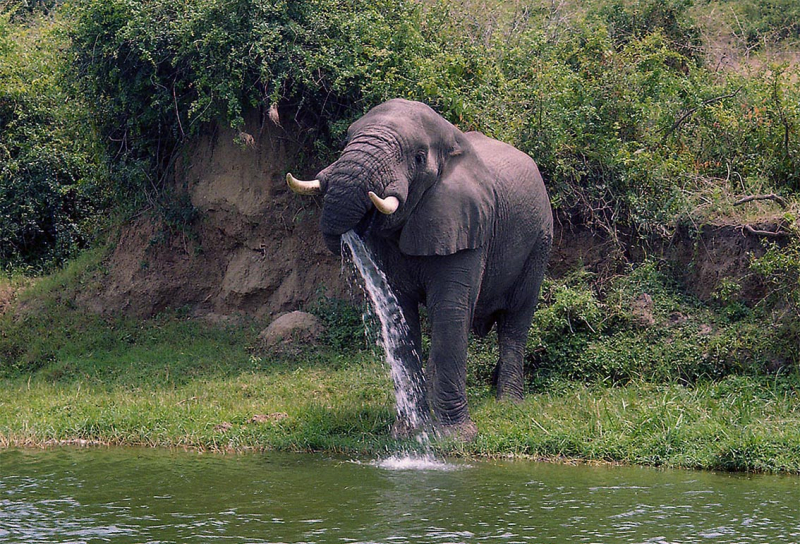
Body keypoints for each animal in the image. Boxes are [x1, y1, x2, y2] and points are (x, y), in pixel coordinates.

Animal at [284, 99, 552, 442]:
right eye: (346, 140)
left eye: (419, 157)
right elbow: (401, 313)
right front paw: (411, 431)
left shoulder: (467, 220)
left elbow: (450, 310)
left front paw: (455, 436)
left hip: (540, 240)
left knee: (516, 319)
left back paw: (508, 404)